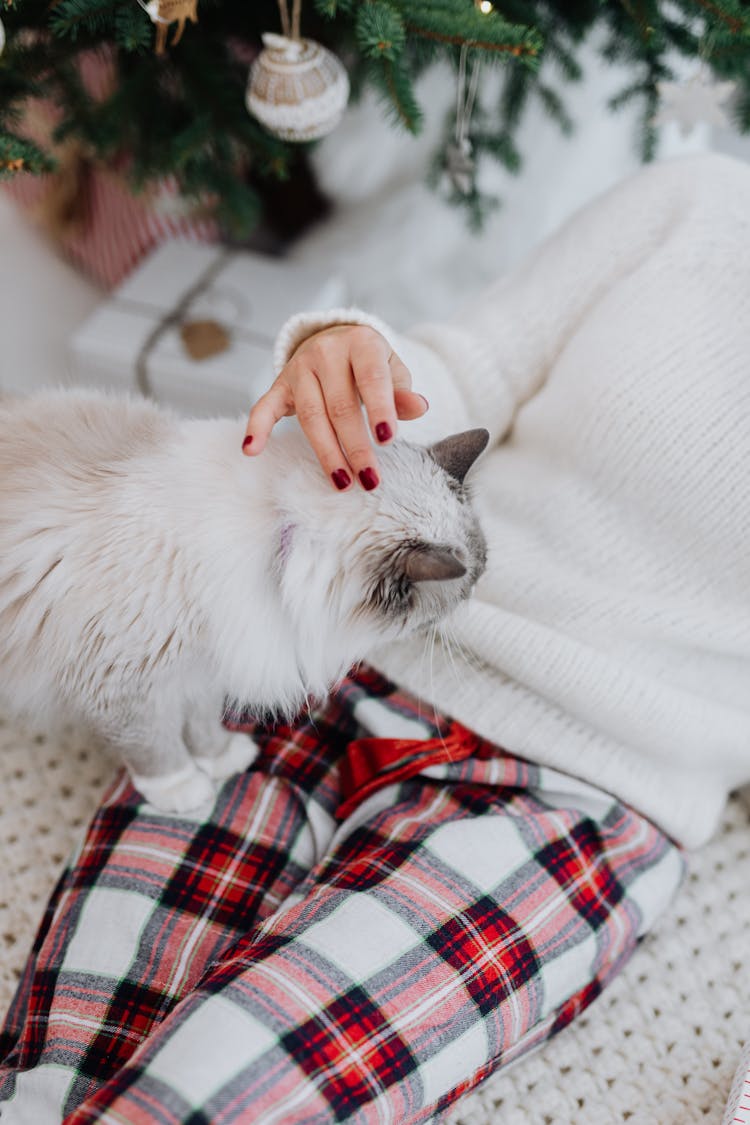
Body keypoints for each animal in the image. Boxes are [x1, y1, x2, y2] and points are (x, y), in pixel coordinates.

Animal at [0, 391, 490, 814]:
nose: (474, 593)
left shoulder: (204, 665)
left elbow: (202, 726)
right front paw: (184, 790)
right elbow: (155, 746)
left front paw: (221, 760)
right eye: (463, 591)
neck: (278, 538)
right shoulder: (124, 684)